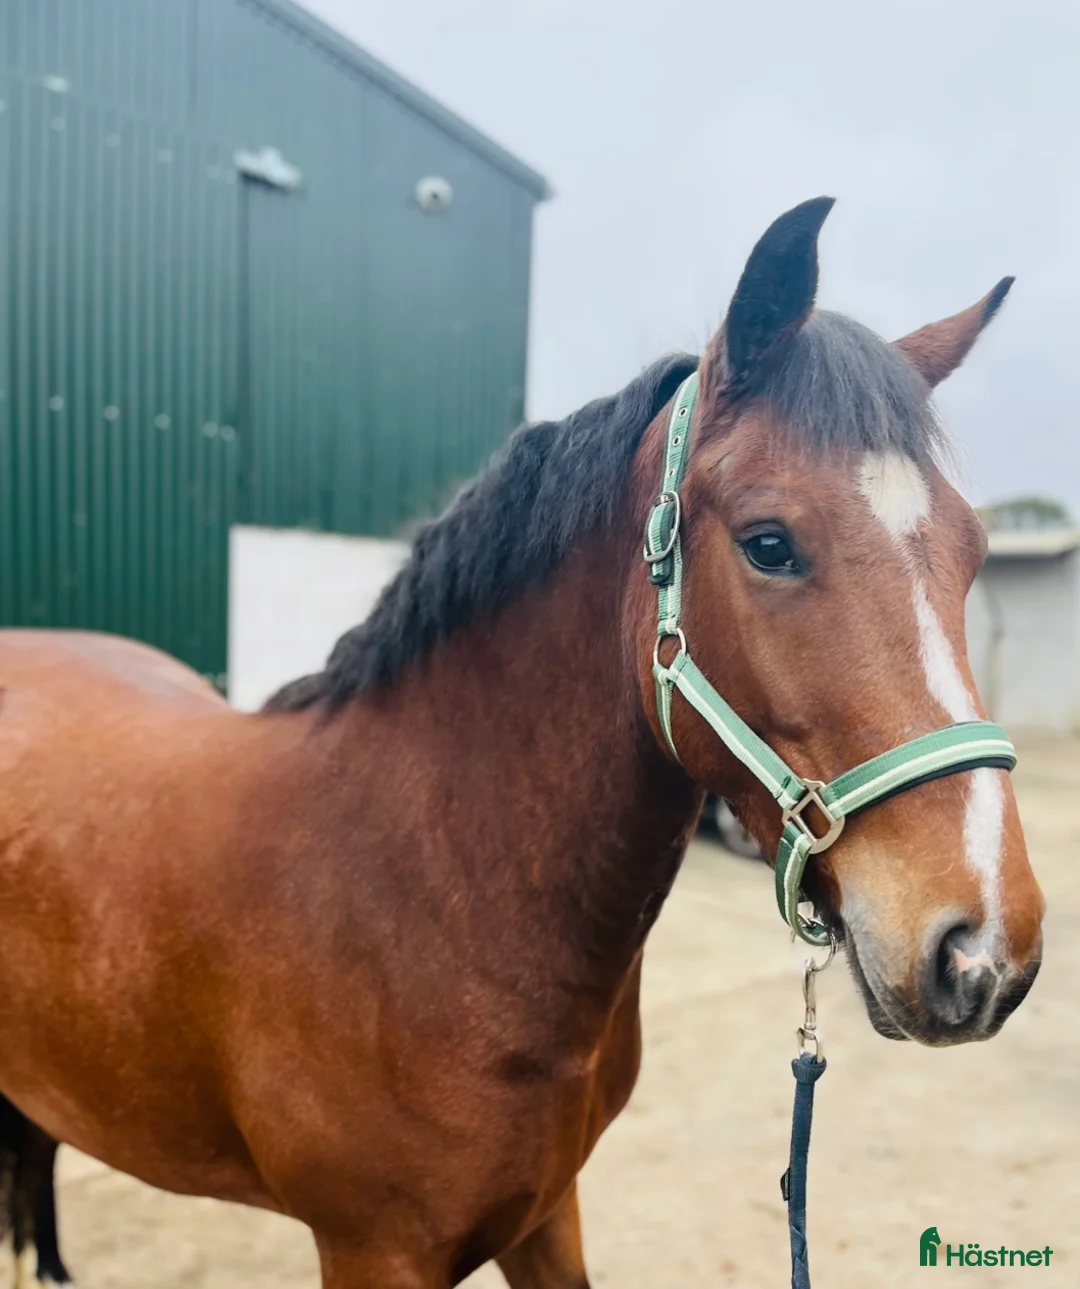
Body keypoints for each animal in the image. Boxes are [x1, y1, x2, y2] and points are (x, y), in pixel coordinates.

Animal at [0, 197, 1044, 1287]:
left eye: (973, 552)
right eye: (769, 543)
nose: (984, 948)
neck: (429, 892)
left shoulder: (548, 1211)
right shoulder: (373, 1249)